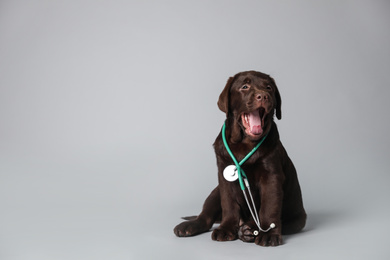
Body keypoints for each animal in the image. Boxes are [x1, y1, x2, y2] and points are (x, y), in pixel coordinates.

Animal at [175, 70, 306, 246]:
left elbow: (269, 206)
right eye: (245, 87)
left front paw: (269, 234)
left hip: (297, 219)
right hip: (215, 192)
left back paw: (248, 230)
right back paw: (190, 226)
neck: (244, 142)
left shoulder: (271, 176)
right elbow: (229, 204)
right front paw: (226, 229)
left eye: (269, 88)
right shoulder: (223, 176)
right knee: (206, 217)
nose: (264, 96)